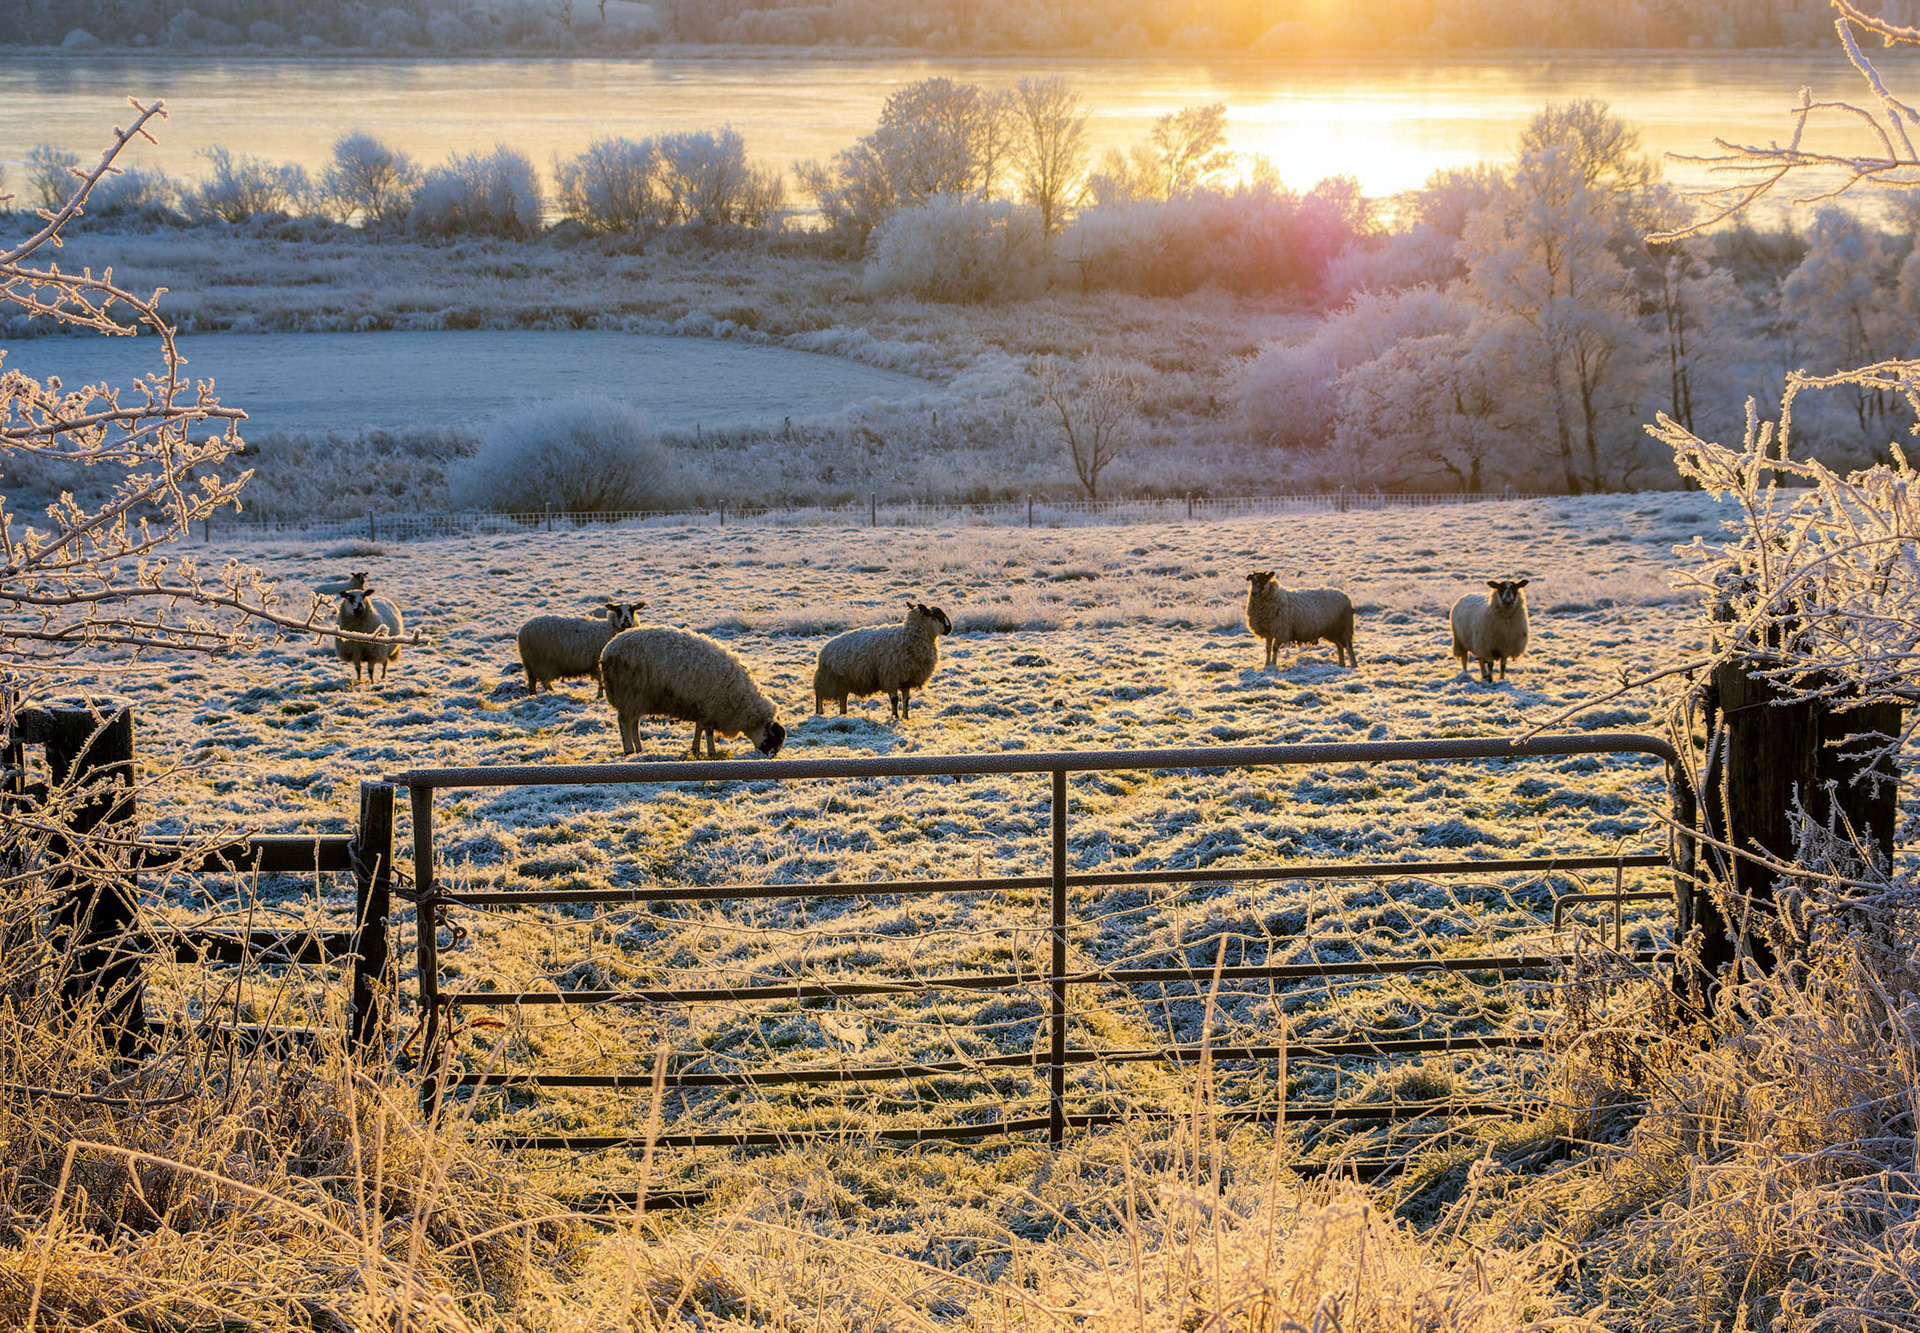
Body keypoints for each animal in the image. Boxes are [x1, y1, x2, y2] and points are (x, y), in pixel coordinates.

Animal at [517, 600, 646, 695]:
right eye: (618, 610)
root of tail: (523, 630)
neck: (610, 629)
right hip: (542, 663)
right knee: (544, 682)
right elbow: (601, 681)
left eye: (632, 610)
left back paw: (535, 695)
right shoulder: (599, 664)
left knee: (533, 682)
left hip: (532, 664)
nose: (626, 623)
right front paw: (600, 696)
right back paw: (552, 693)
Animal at [599, 626, 786, 759]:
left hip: (637, 699)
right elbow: (708, 732)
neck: (742, 702)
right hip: (629, 694)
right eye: (773, 738)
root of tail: (606, 651)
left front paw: (696, 749)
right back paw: (629, 749)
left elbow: (699, 728)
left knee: (634, 723)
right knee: (624, 723)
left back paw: (639, 749)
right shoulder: (712, 707)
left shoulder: (702, 707)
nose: (772, 757)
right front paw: (711, 752)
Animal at [813, 602, 953, 720]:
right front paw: (895, 717)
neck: (909, 637)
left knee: (842, 697)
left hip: (843, 681)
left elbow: (906, 700)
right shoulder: (891, 676)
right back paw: (820, 712)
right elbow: (895, 700)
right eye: (937, 615)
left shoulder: (906, 679)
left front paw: (906, 717)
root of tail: (824, 650)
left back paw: (843, 713)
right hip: (827, 678)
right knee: (819, 695)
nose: (950, 628)